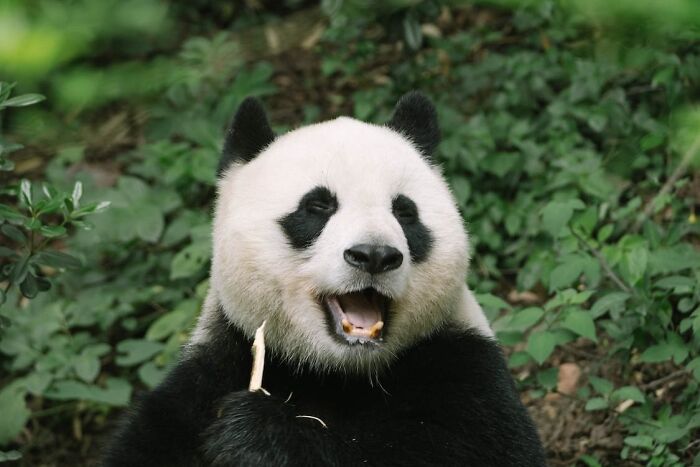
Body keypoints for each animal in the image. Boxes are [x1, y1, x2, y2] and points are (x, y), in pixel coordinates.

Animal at [103, 92, 546, 466]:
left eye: (405, 212)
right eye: (317, 206)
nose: (374, 255)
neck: (338, 371)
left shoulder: (463, 367)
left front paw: (256, 434)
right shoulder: (212, 370)